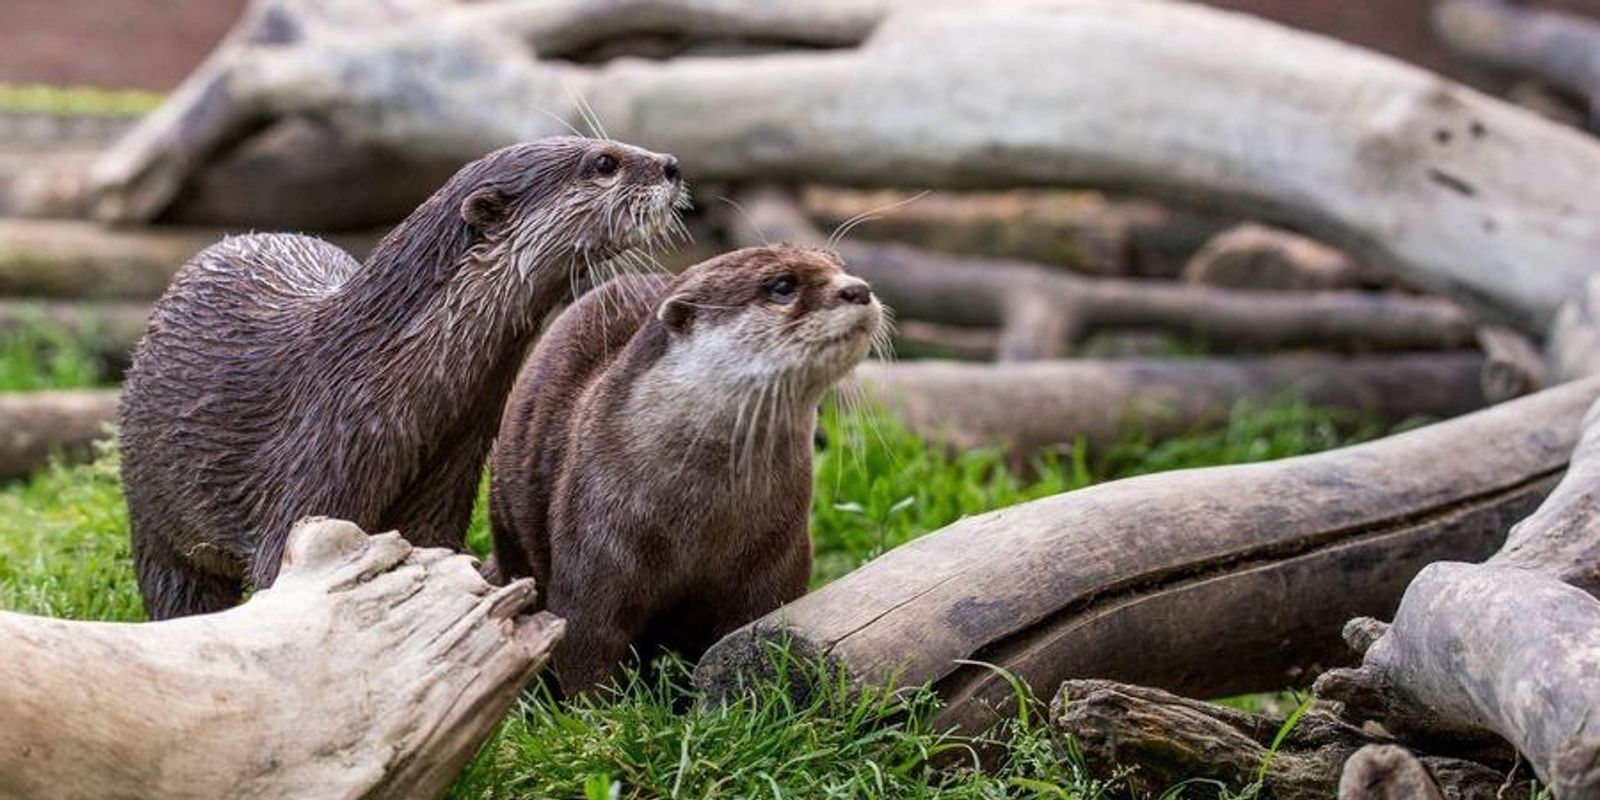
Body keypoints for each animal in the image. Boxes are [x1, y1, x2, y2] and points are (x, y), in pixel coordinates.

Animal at [116, 136, 681, 617]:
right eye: (604, 162)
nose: (671, 165)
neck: (376, 372)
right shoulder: (310, 473)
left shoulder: (449, 476)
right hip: (153, 516)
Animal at [489, 243, 889, 694]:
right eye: (782, 286)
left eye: (840, 265)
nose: (858, 289)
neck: (698, 518)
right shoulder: (592, 544)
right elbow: (586, 644)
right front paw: (605, 710)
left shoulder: (777, 554)